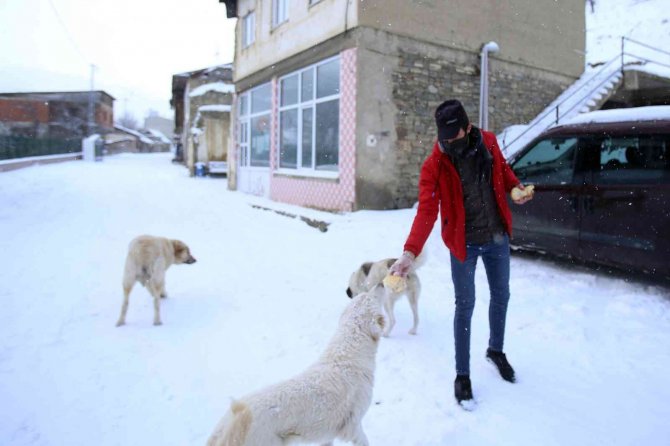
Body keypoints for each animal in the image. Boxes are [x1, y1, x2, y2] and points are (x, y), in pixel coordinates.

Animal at [209, 288, 388, 446]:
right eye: (372, 296)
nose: (381, 284)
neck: (347, 355)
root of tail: (228, 423)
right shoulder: (353, 425)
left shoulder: (327, 434)